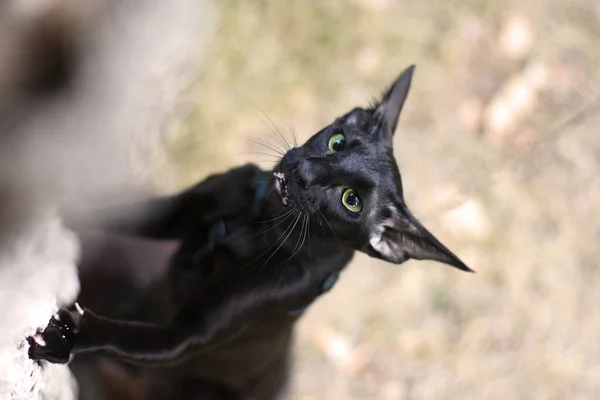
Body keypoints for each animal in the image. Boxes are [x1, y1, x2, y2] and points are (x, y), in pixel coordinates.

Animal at [29, 66, 474, 400]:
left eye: (351, 201)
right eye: (337, 141)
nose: (303, 171)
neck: (259, 224)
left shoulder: (189, 335)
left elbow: (125, 337)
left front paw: (70, 336)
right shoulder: (175, 212)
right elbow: (110, 215)